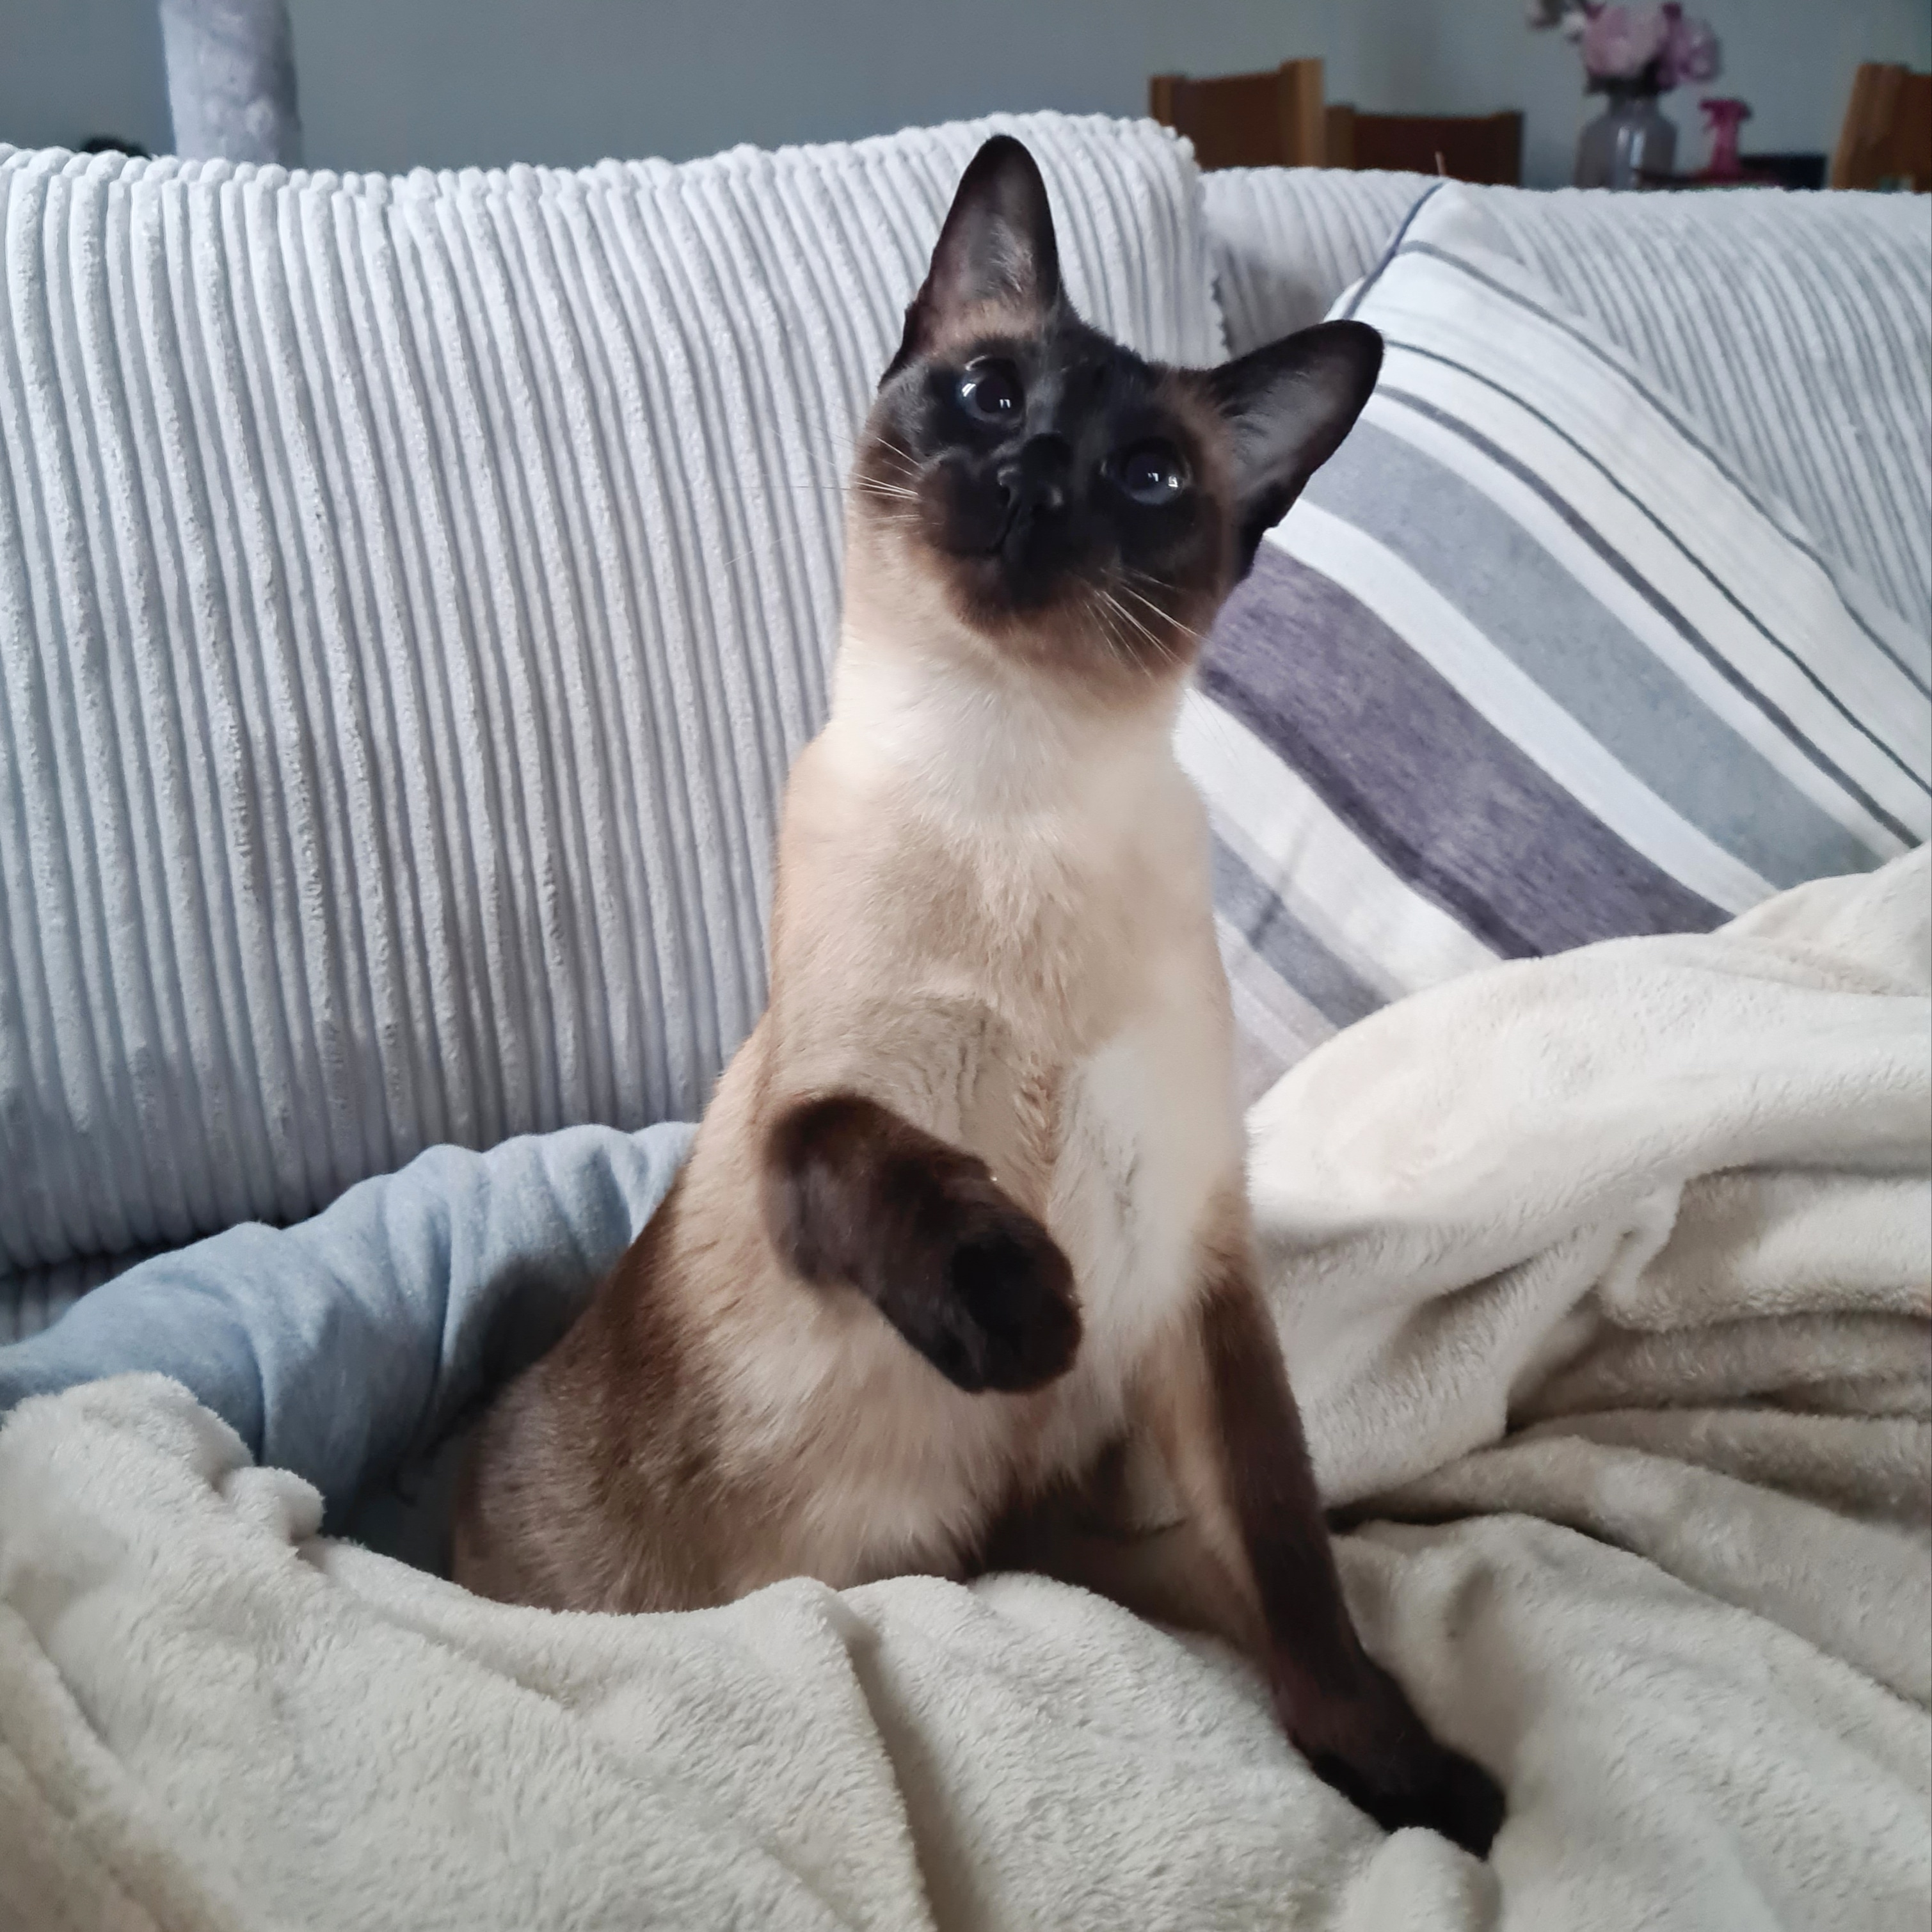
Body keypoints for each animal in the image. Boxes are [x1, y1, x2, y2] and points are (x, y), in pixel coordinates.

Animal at [452, 135, 1503, 1855]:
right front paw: (1022, 1317)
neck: (1012, 793)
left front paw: (1410, 1785)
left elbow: (1295, 1574)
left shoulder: (1193, 1279)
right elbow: (879, 1158)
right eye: (992, 394)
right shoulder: (811, 1118)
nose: (1037, 475)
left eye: (1146, 476)